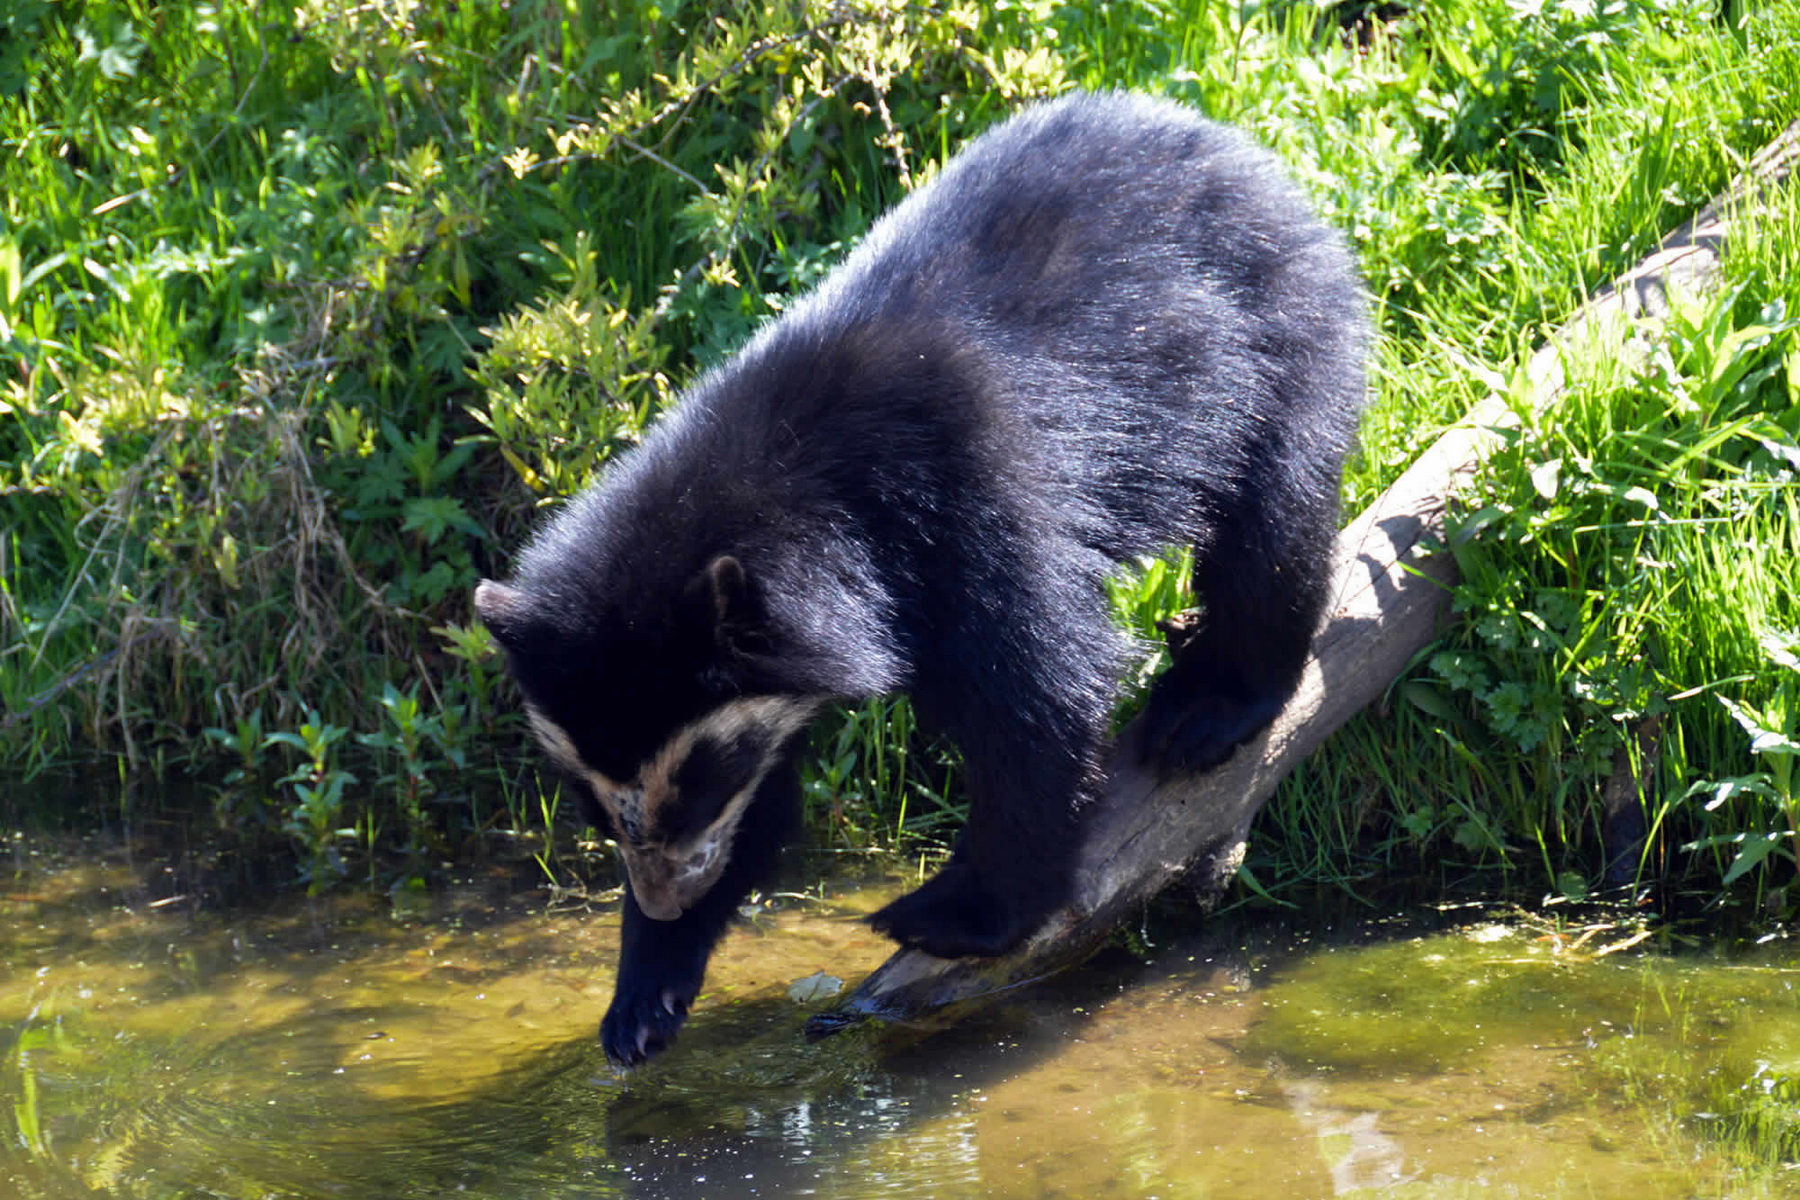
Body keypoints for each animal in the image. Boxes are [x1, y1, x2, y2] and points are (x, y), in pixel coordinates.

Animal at [471, 94, 1368, 1072]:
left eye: (695, 778)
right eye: (596, 799)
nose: (665, 894)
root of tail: (1234, 145)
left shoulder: (970, 493)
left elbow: (1037, 690)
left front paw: (951, 916)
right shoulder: (777, 659)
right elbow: (771, 798)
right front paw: (643, 1000)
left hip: (1280, 330)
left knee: (1271, 523)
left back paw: (1205, 710)